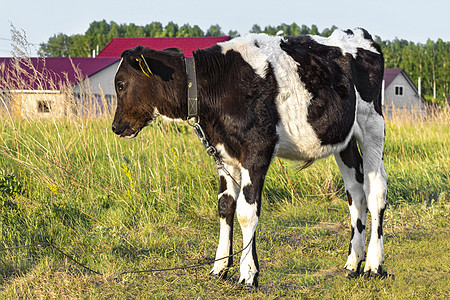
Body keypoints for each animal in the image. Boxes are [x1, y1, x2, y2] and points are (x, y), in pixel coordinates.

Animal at [111, 28, 386, 288]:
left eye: (121, 84)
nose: (115, 126)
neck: (213, 85)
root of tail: (357, 34)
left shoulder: (257, 151)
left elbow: (247, 212)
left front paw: (248, 274)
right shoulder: (225, 155)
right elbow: (225, 207)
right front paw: (220, 267)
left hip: (372, 126)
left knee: (376, 191)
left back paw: (373, 265)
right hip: (345, 140)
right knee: (355, 193)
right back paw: (353, 262)